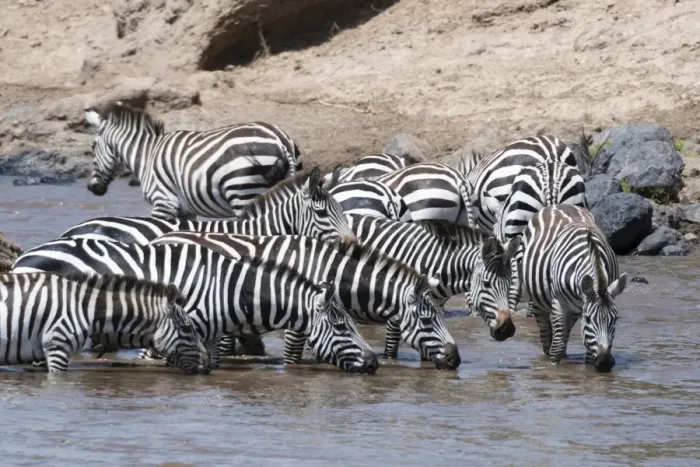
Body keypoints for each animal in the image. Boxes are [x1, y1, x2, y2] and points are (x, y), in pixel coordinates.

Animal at [83, 103, 303, 220]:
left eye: (92, 148)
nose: (91, 188)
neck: (146, 154)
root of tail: (280, 139)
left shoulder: (163, 202)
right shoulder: (185, 211)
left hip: (243, 192)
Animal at [149, 233, 461, 370]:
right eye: (427, 320)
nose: (455, 360)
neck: (331, 271)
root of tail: (159, 238)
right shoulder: (297, 323)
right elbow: (293, 359)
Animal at [520, 204, 627, 372]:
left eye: (615, 319)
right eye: (589, 319)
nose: (605, 363)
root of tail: (559, 204)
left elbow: (587, 353)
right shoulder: (559, 303)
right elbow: (556, 348)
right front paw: (553, 368)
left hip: (574, 308)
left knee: (565, 333)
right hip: (539, 300)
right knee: (546, 331)